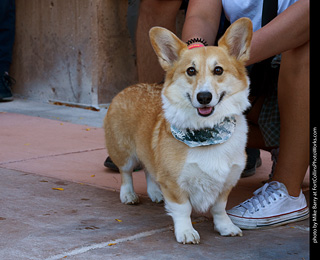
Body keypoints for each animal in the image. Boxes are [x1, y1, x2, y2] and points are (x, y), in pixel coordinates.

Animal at [104, 17, 252, 244]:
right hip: (124, 153)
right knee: (126, 173)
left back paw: (156, 193)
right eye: (191, 71)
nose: (204, 97)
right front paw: (186, 232)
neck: (207, 132)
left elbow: (219, 208)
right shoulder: (174, 182)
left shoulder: (226, 181)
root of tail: (130, 87)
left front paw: (226, 227)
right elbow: (183, 209)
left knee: (149, 170)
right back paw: (128, 194)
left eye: (218, 70)